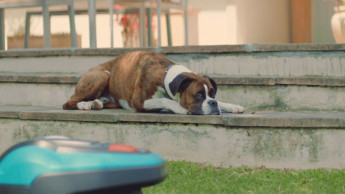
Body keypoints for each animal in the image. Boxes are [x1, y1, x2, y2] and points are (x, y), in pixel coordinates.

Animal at [63, 51, 243, 115]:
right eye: (198, 95)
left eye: (212, 94)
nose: (213, 103)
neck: (165, 74)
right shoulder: (139, 101)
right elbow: (164, 100)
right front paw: (179, 108)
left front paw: (230, 106)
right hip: (101, 76)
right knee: (69, 103)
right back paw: (84, 104)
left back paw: (96, 103)